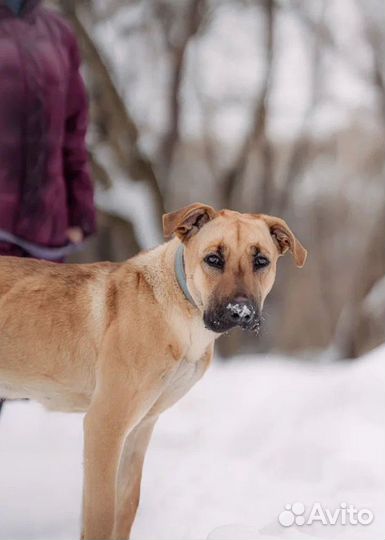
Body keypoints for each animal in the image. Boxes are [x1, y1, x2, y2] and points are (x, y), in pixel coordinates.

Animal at [0, 204, 306, 540]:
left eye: (261, 261)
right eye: (213, 259)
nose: (241, 312)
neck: (183, 315)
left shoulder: (140, 427)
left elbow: (126, 505)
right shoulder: (104, 424)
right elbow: (101, 514)